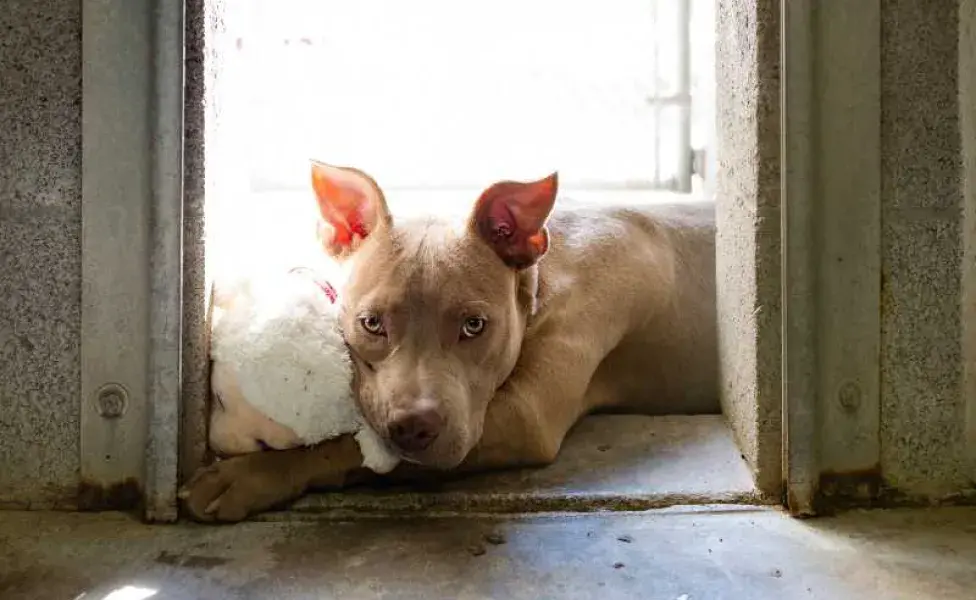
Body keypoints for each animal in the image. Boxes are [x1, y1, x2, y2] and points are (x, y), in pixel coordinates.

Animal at [183, 162, 716, 524]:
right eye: (371, 323)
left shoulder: (522, 416)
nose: (413, 428)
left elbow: (351, 447)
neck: (539, 277)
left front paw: (250, 474)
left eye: (474, 326)